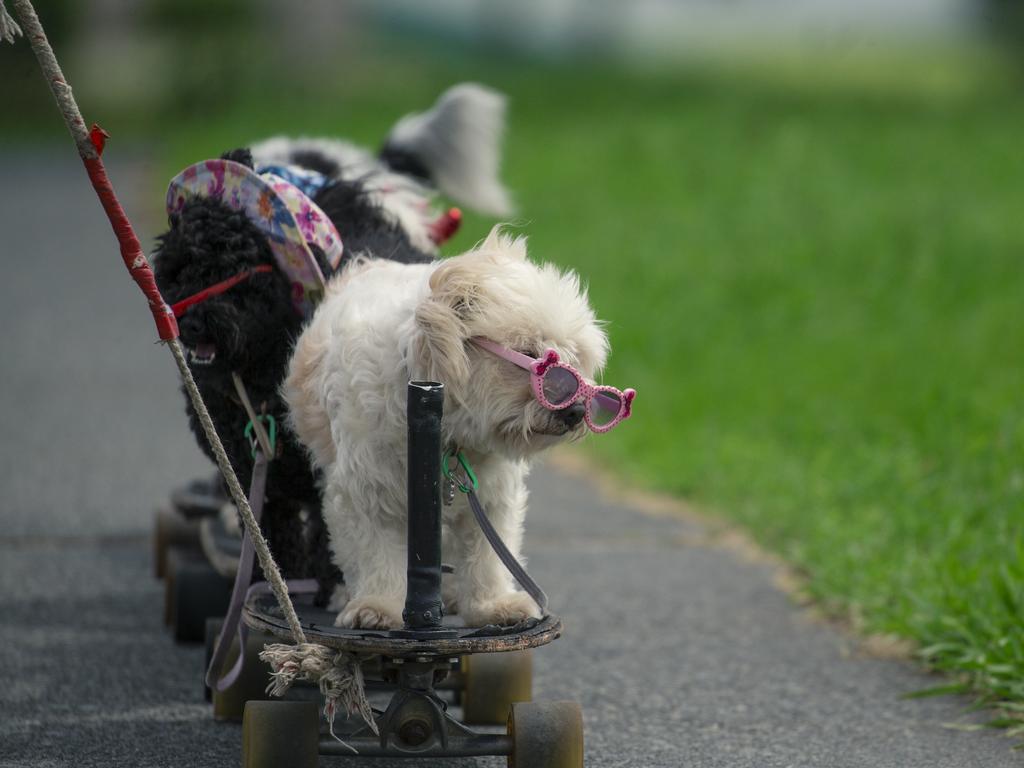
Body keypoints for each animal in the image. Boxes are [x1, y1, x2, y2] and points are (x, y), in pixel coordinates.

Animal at [284, 228, 606, 630]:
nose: (577, 410)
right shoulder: (366, 490)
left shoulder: (490, 493)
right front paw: (377, 606)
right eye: (532, 356)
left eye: (573, 362)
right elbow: (376, 553)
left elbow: (488, 555)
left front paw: (491, 604)